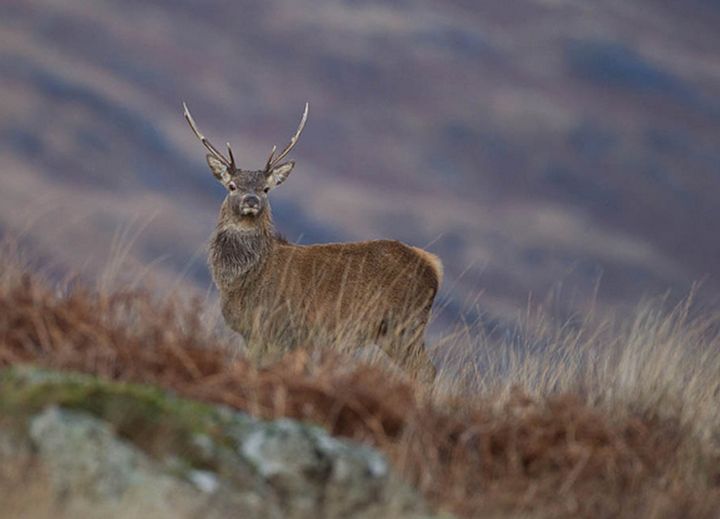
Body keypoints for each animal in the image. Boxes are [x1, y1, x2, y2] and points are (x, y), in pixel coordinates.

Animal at [183, 102, 442, 382]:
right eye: (232, 186)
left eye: (266, 189)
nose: (251, 200)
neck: (244, 279)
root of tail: (433, 266)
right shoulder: (252, 334)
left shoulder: (281, 328)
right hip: (389, 333)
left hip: (404, 324)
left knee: (426, 371)